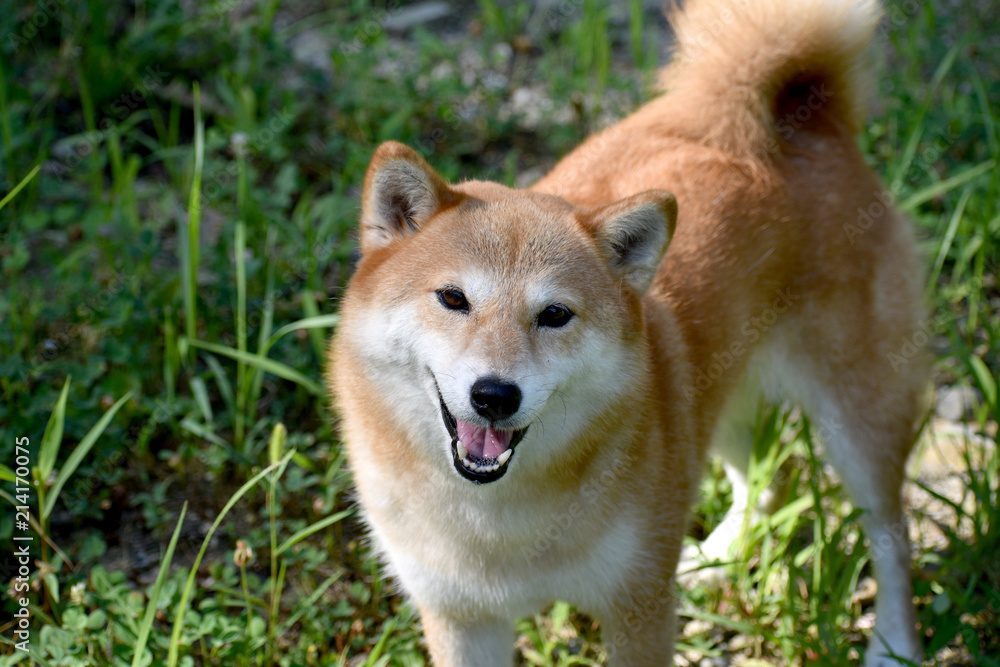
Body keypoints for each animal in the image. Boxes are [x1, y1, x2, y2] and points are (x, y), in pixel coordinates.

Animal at [330, 0, 928, 664]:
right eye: (453, 299)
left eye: (555, 314)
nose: (494, 395)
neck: (500, 520)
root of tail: (799, 120)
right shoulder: (462, 618)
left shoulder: (637, 605)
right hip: (715, 402)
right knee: (763, 478)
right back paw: (722, 554)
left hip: (859, 421)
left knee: (892, 535)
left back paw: (894, 644)